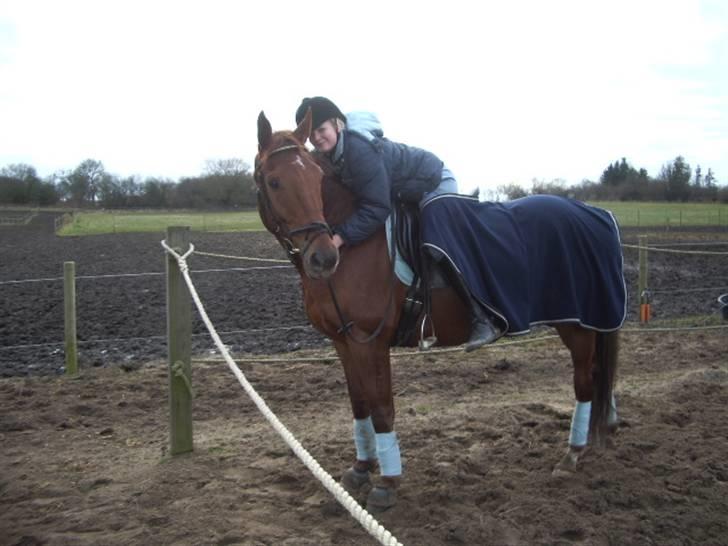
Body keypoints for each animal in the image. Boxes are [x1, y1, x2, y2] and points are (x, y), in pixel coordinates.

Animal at [256, 109, 620, 510]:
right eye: (274, 181)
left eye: (317, 179)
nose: (323, 258)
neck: (355, 247)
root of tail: (593, 211)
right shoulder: (344, 342)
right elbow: (359, 405)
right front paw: (361, 469)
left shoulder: (370, 342)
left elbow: (382, 409)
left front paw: (387, 483)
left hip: (579, 325)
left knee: (585, 380)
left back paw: (572, 453)